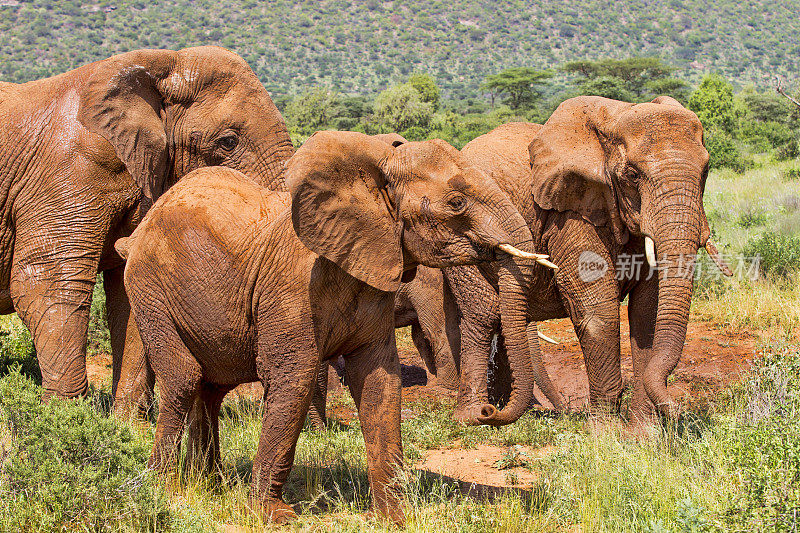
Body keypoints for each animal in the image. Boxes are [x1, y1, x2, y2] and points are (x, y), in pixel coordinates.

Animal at [0, 47, 294, 402]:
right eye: (228, 142)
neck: (163, 64)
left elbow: (129, 297)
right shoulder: (68, 171)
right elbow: (47, 284)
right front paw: (64, 411)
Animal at [115, 130, 552, 524]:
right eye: (456, 203)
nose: (486, 411)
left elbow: (378, 382)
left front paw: (394, 518)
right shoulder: (293, 288)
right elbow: (293, 378)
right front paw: (273, 516)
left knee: (210, 388)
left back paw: (209, 486)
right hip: (148, 288)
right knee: (184, 377)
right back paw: (167, 490)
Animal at [444, 97, 732, 426]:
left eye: (706, 170)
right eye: (632, 175)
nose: (678, 410)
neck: (617, 116)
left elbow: (648, 312)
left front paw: (642, 433)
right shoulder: (569, 214)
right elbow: (597, 310)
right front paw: (605, 432)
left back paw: (510, 412)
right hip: (461, 240)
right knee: (483, 317)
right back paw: (474, 417)